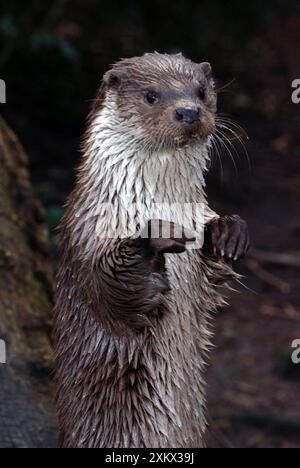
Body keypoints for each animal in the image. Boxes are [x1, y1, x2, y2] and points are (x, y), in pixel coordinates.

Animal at [53, 52, 248, 450]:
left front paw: (227, 232)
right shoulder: (87, 230)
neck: (162, 205)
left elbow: (213, 278)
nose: (188, 111)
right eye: (151, 96)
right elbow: (106, 287)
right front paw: (151, 241)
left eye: (201, 91)